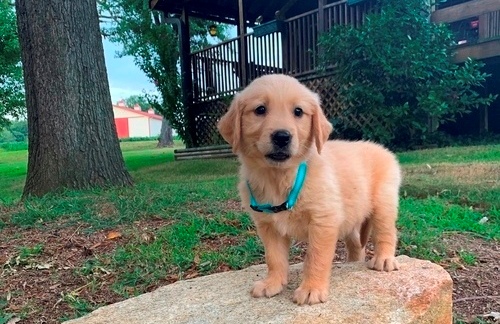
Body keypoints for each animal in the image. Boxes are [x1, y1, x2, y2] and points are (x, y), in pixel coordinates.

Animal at [217, 74, 400, 306]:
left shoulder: (323, 220)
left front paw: (312, 289)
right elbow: (274, 258)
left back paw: (384, 259)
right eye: (260, 109)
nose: (282, 136)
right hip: (351, 217)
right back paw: (351, 263)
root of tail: (383, 149)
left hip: (383, 203)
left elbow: (315, 257)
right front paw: (272, 283)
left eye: (298, 112)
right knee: (356, 244)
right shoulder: (268, 226)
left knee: (386, 232)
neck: (281, 177)